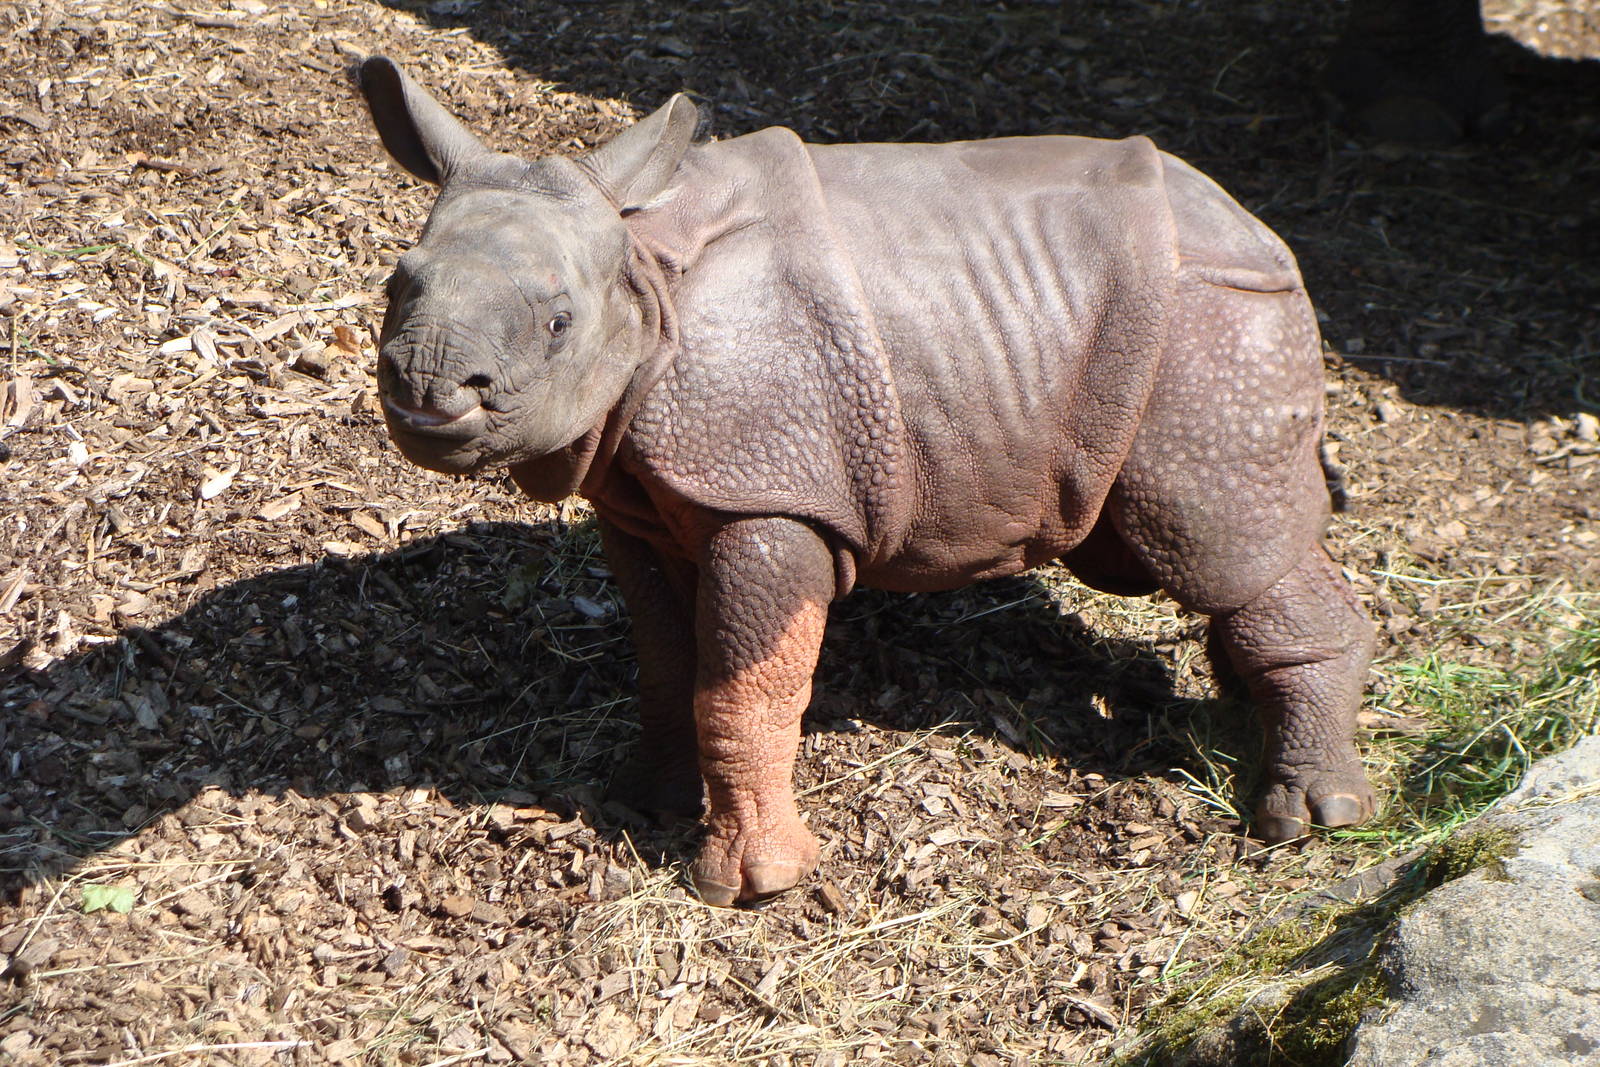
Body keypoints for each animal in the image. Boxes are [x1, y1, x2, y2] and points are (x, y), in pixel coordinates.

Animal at [358, 57, 1377, 906]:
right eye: (395, 286)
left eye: (559, 323)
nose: (425, 387)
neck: (645, 267)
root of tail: (1268, 239)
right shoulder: (642, 500)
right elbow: (665, 661)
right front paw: (642, 801)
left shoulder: (772, 492)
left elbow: (743, 688)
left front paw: (751, 885)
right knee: (1217, 551)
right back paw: (1248, 721)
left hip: (1209, 322)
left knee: (1214, 536)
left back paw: (1307, 817)